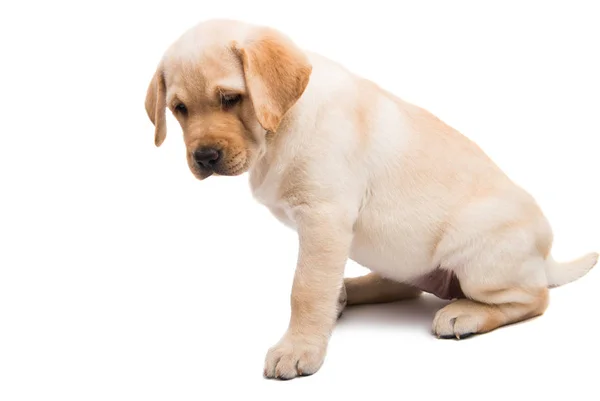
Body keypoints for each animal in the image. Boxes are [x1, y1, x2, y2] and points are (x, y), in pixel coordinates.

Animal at [144, 18, 596, 380]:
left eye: (230, 98)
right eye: (180, 108)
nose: (204, 157)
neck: (280, 128)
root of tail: (546, 258)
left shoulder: (324, 218)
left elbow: (305, 287)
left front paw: (298, 349)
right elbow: (314, 283)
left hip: (480, 263)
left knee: (535, 298)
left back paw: (464, 312)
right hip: (400, 257)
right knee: (406, 285)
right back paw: (348, 291)